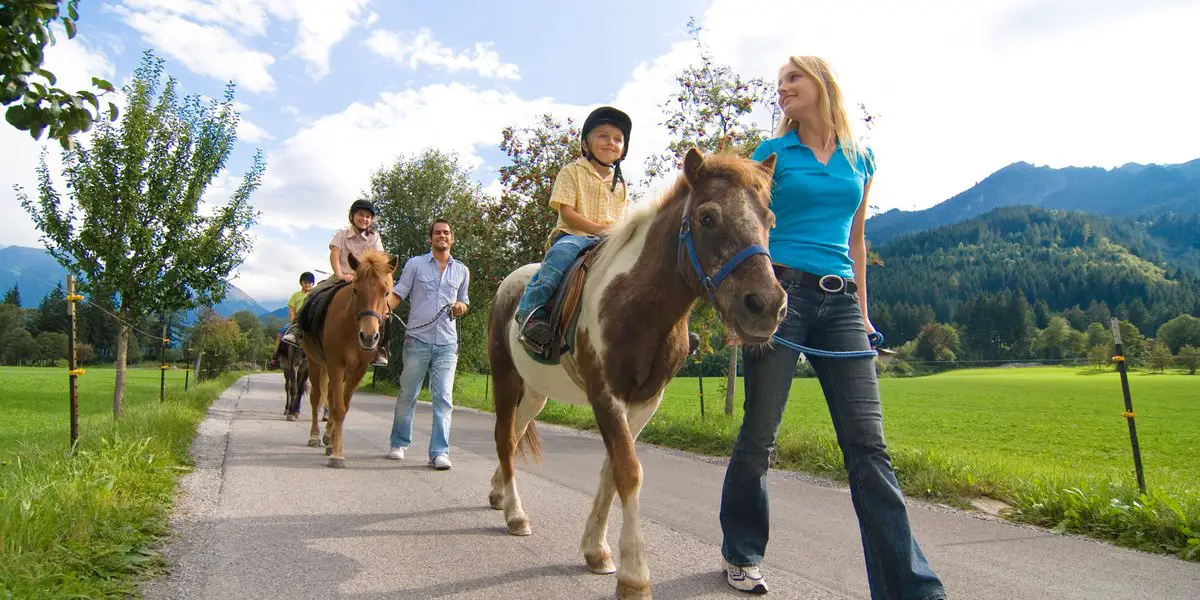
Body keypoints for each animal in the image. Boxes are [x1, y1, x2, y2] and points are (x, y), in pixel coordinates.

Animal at [300, 250, 398, 465]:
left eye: (386, 292)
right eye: (355, 291)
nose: (368, 337)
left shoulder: (358, 370)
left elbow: (342, 406)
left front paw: (333, 446)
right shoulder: (336, 364)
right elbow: (338, 408)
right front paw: (337, 454)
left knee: (328, 396)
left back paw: (327, 438)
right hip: (315, 363)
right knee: (316, 398)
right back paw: (314, 436)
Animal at [487, 147, 787, 597]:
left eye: (769, 221)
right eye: (707, 217)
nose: (766, 305)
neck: (636, 303)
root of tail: (510, 283)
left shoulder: (645, 402)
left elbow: (612, 471)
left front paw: (596, 550)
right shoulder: (606, 396)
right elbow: (628, 471)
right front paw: (633, 575)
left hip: (536, 391)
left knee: (518, 433)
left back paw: (498, 494)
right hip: (506, 378)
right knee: (505, 438)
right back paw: (515, 515)